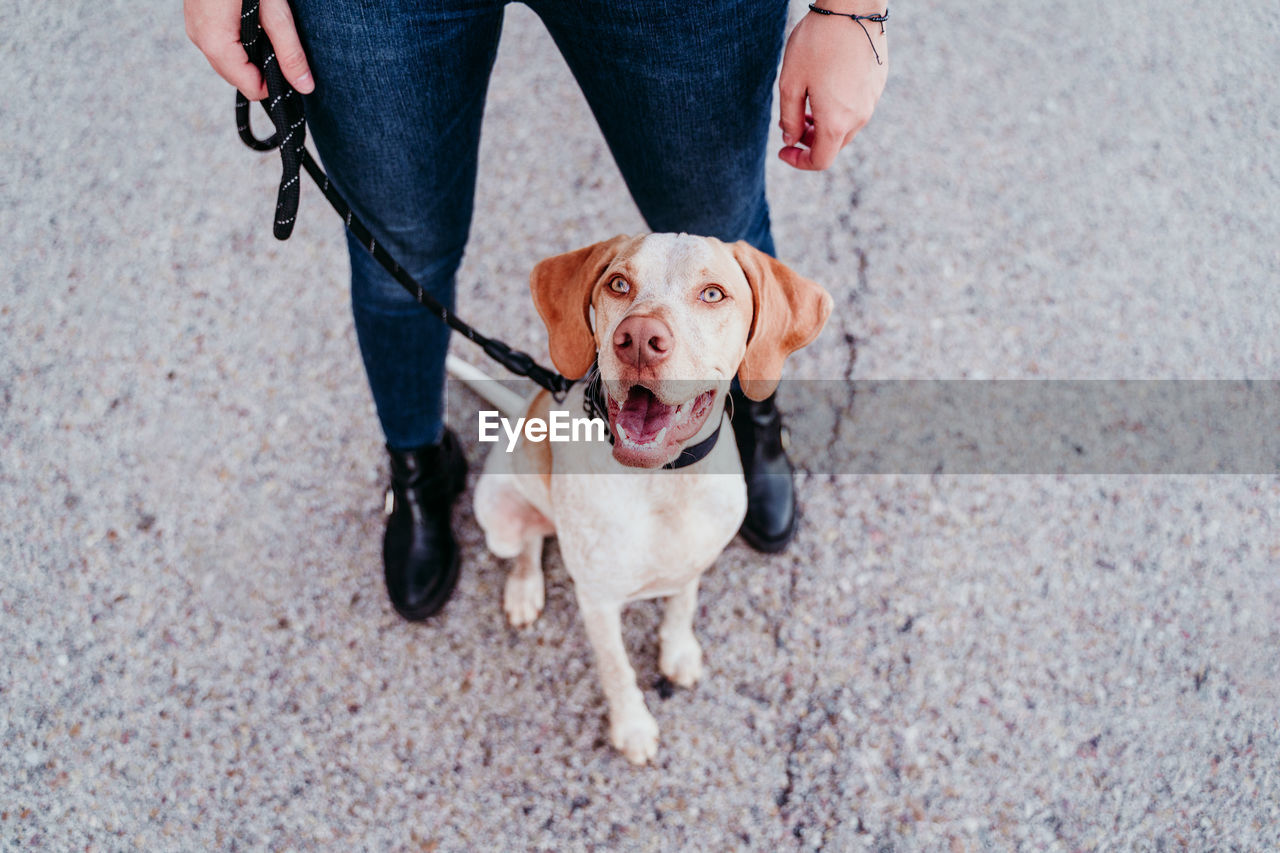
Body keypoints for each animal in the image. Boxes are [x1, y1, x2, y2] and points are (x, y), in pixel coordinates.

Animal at [460, 233, 829, 763]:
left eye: (712, 294)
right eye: (619, 284)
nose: (638, 338)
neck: (663, 483)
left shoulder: (695, 558)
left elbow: (682, 607)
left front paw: (678, 651)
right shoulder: (597, 600)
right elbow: (616, 670)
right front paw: (632, 727)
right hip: (499, 517)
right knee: (529, 543)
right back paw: (525, 589)